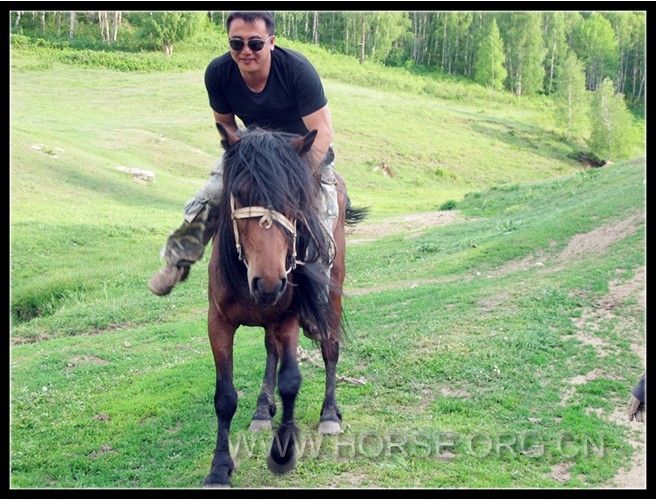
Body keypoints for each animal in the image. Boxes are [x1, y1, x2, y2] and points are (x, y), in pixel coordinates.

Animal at [203, 125, 367, 487]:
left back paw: (329, 413)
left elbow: (291, 382)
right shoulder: (218, 322)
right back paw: (263, 409)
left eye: (295, 197)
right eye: (240, 193)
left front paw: (284, 448)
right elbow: (225, 398)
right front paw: (219, 468)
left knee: (330, 347)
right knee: (270, 350)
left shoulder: (289, 318)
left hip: (331, 293)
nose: (269, 282)